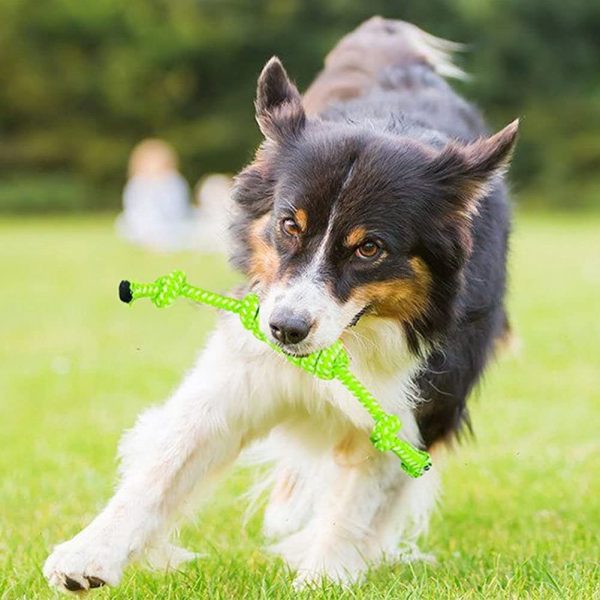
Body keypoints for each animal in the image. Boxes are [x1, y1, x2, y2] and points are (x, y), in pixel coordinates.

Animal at [44, 17, 516, 592]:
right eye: (289, 224)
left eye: (369, 248)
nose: (286, 329)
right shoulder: (242, 366)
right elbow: (168, 461)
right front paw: (89, 552)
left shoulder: (414, 403)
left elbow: (357, 500)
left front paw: (324, 577)